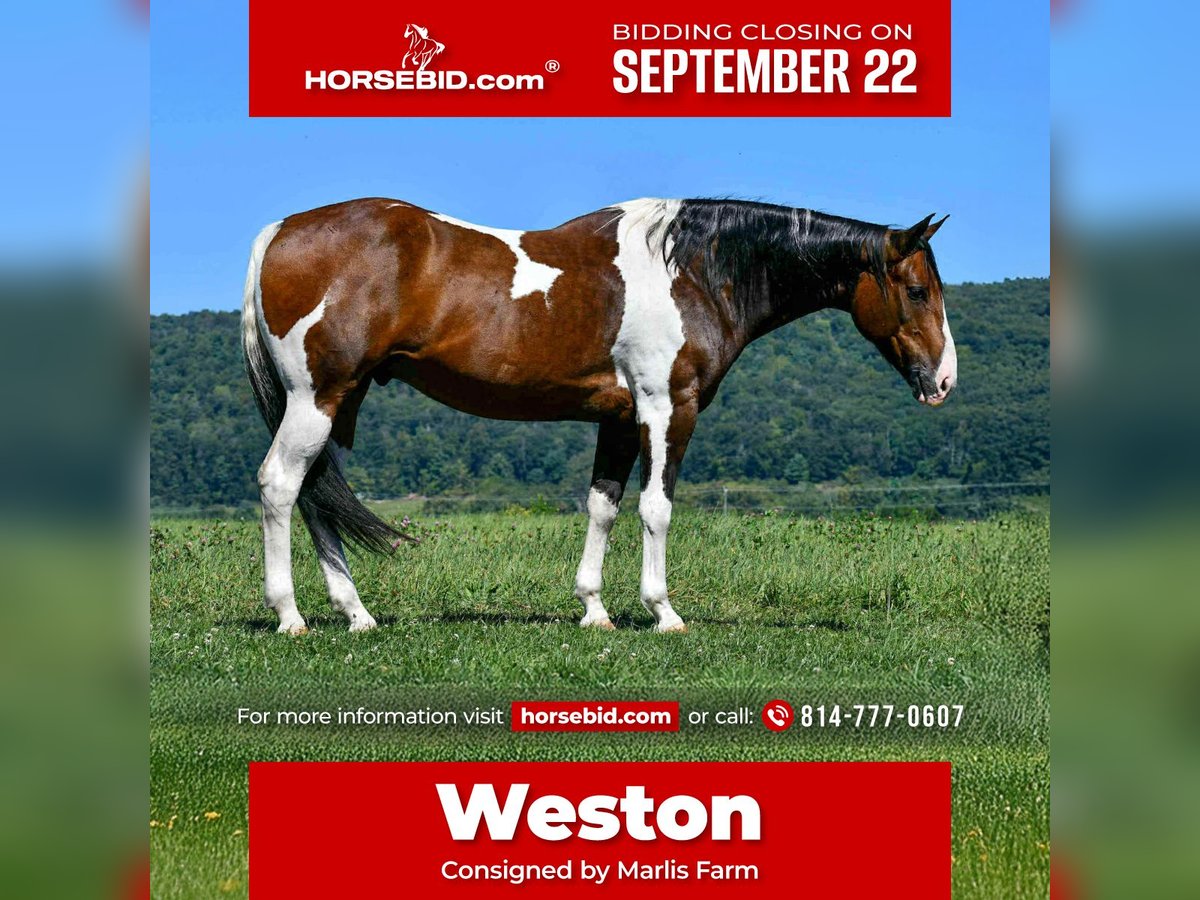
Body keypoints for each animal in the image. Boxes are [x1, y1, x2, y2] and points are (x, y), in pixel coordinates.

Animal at [242, 198, 955, 635]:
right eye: (918, 290)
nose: (944, 381)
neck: (693, 270)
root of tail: (278, 230)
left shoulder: (617, 417)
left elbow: (603, 506)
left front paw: (594, 608)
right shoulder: (668, 407)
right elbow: (656, 507)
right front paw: (662, 611)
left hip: (338, 399)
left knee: (314, 496)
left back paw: (355, 613)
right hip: (316, 398)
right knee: (281, 485)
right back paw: (290, 615)